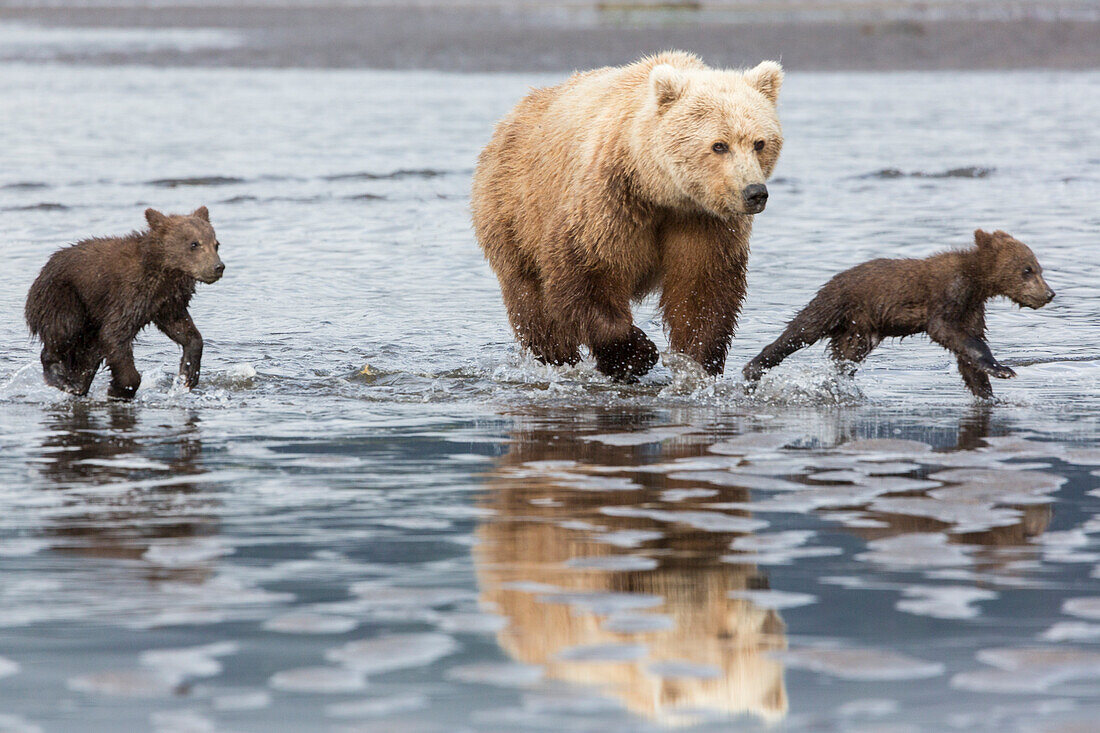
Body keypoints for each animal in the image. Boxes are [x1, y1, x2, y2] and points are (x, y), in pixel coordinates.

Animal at [473, 51, 783, 378]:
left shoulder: (703, 222)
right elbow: (586, 275)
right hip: (513, 210)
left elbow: (702, 291)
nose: (754, 192)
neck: (659, 190)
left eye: (759, 143)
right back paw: (557, 359)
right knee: (533, 302)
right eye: (719, 145)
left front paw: (698, 361)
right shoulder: (609, 204)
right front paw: (634, 354)